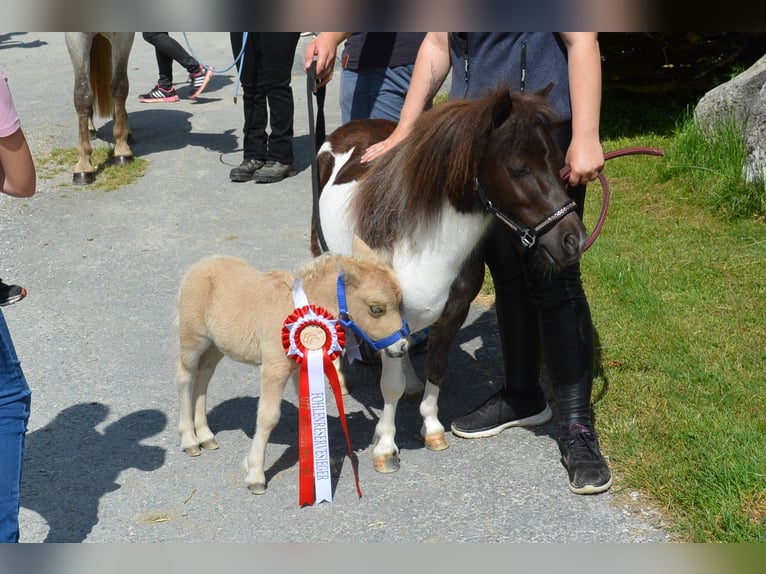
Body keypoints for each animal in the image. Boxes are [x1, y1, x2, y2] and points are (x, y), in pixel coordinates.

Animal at [64, 32, 135, 185]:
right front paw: (83, 165)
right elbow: (82, 94)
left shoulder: (124, 37)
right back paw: (90, 129)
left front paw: (122, 149)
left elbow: (119, 86)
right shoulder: (75, 37)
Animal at [175, 237, 409, 494]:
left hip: (216, 345)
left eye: (400, 303)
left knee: (204, 376)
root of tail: (200, 265)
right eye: (376, 308)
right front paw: (255, 473)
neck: (302, 309)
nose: (401, 347)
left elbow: (308, 410)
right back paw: (189, 439)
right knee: (185, 375)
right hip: (193, 338)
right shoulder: (273, 368)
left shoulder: (300, 367)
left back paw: (205, 436)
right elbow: (268, 416)